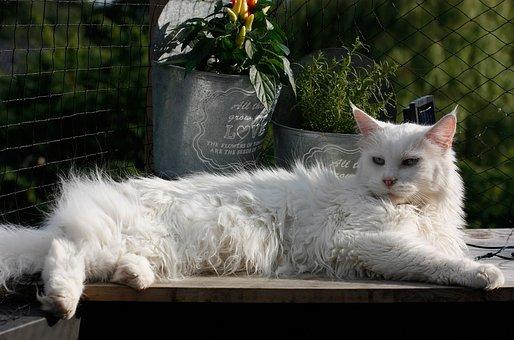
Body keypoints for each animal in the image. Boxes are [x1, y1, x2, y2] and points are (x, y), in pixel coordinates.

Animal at [0, 104, 502, 318]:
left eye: (410, 162)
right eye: (379, 161)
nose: (390, 181)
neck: (415, 211)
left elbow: (441, 252)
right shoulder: (365, 242)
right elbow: (432, 261)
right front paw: (483, 274)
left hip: (142, 246)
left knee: (100, 263)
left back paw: (136, 276)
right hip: (107, 235)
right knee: (64, 253)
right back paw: (63, 302)